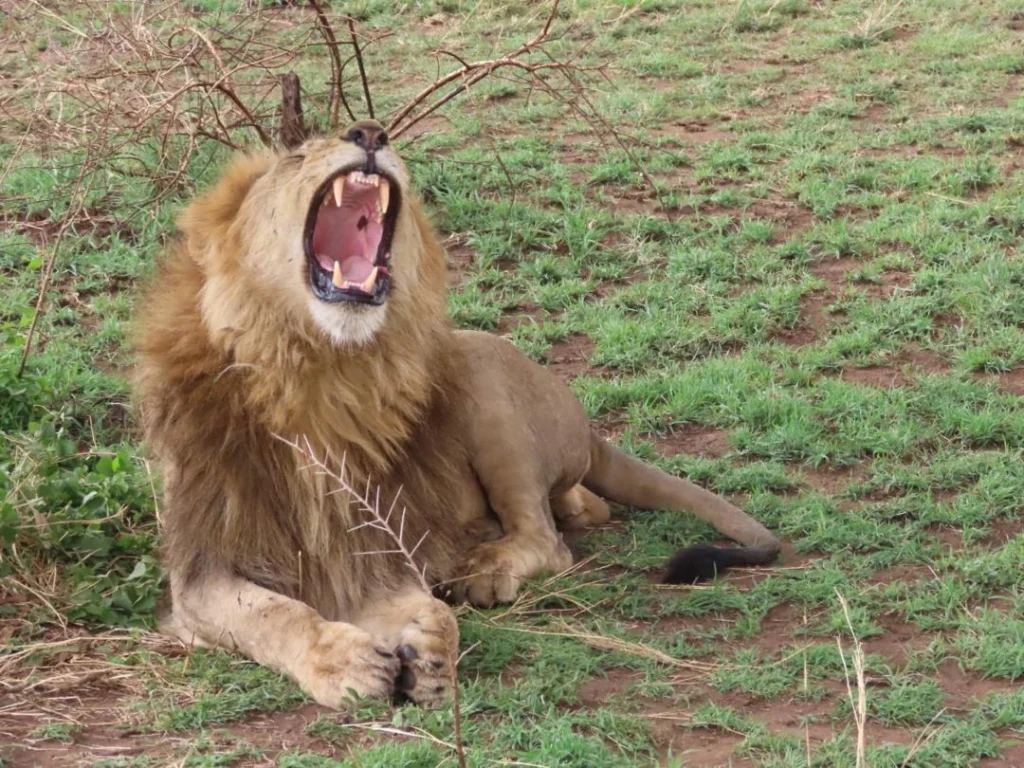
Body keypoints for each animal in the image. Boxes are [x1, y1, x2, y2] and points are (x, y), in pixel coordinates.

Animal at [133, 120, 780, 709]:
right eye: (296, 156)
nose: (370, 131)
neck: (323, 373)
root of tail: (589, 428)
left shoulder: (379, 547)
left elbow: (432, 610)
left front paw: (432, 649)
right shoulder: (202, 571)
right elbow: (276, 614)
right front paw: (344, 661)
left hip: (477, 371)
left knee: (548, 539)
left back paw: (484, 567)